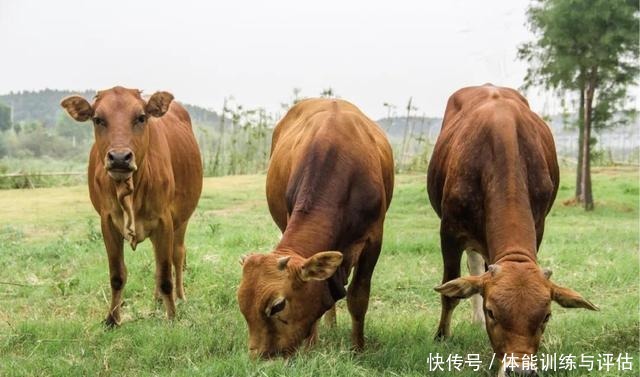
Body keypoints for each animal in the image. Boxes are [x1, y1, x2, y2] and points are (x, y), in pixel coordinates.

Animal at [60, 86, 201, 324]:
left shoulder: (165, 220)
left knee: (177, 255)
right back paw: (157, 299)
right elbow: (117, 275)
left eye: (141, 117)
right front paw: (112, 319)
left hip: (182, 220)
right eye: (98, 119)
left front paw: (172, 317)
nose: (119, 158)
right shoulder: (107, 222)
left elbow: (166, 275)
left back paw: (179, 297)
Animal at [238, 97, 392, 356]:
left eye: (277, 305)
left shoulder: (374, 239)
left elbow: (358, 297)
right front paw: (311, 345)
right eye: (242, 304)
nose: (259, 357)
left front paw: (358, 349)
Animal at [428, 83, 596, 374]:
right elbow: (450, 292)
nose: (520, 371)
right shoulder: (449, 232)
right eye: (492, 312)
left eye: (546, 316)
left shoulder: (538, 226)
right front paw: (442, 336)